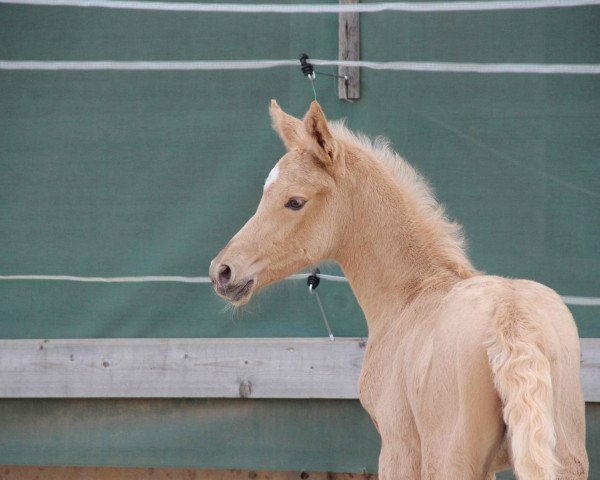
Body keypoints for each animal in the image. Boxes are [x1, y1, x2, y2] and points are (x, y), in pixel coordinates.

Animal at [210, 101, 584, 480]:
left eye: (295, 201)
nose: (222, 271)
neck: (411, 294)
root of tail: (511, 317)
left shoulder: (397, 448)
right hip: (567, 457)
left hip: (449, 457)